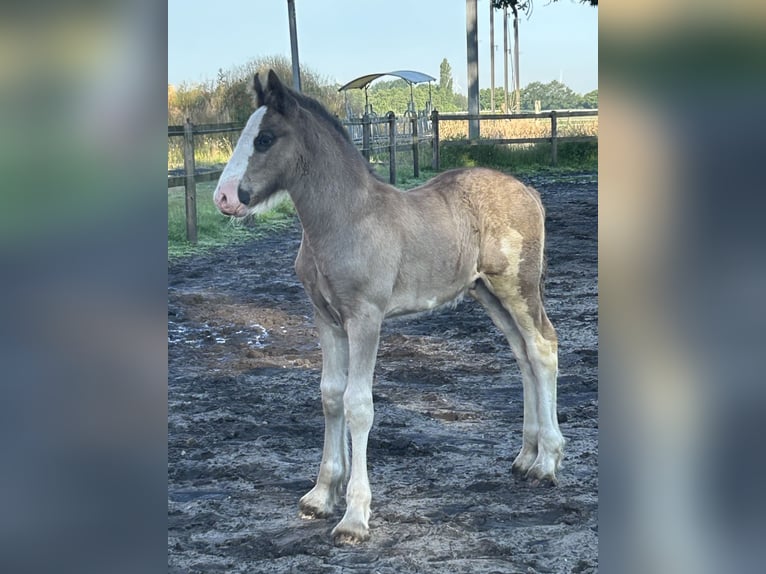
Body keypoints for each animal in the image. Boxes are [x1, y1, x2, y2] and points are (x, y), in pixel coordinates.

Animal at [213, 71, 568, 544]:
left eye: (265, 138)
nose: (224, 197)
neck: (345, 219)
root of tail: (527, 189)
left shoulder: (366, 317)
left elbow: (358, 404)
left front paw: (354, 517)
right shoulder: (326, 318)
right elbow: (330, 395)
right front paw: (320, 496)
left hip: (517, 287)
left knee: (543, 348)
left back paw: (547, 463)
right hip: (487, 293)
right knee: (523, 355)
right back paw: (526, 457)